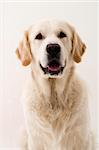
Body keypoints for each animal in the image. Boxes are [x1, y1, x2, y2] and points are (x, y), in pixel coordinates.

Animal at [15, 19, 94, 150]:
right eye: (39, 36)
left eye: (62, 34)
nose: (53, 48)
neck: (54, 99)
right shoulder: (36, 140)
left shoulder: (81, 139)